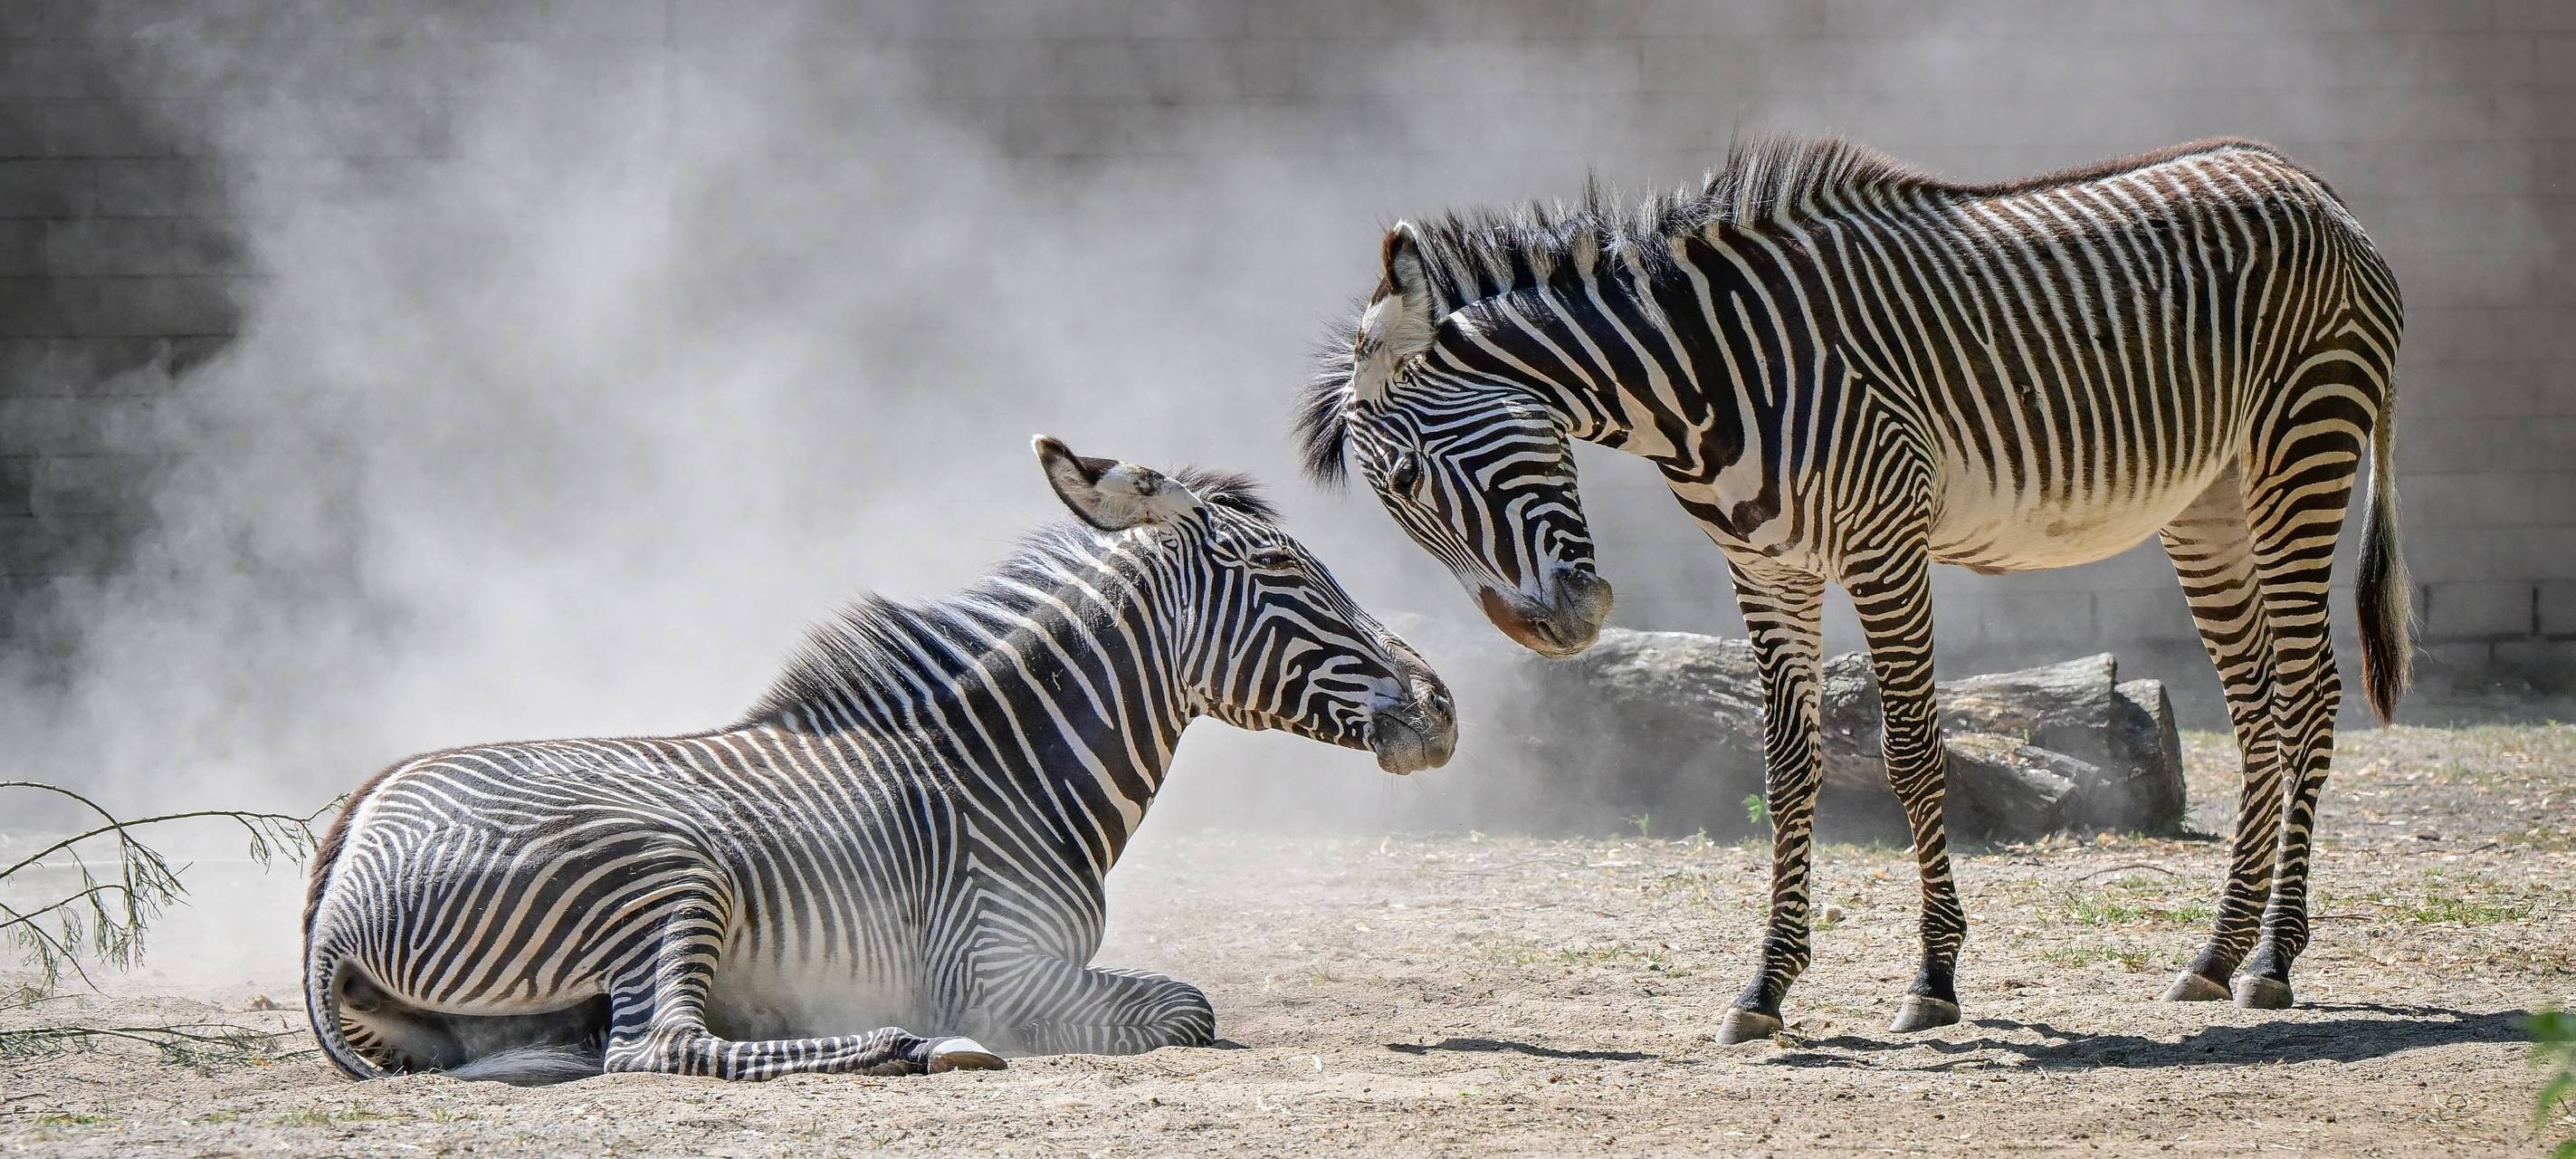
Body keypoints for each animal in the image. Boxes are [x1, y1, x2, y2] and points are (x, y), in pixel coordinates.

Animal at [302, 436, 1456, 1083]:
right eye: (1283, 570)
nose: (1442, 707)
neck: (1008, 768)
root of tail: (349, 843)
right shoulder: (997, 967)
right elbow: (1188, 1006)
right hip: (666, 870)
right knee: (657, 1044)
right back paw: (911, 1045)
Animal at [1297, 136, 2407, 1042]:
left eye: (1407, 481)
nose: (1557, 629)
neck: (1700, 377)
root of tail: (2312, 184)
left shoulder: (1884, 543)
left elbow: (1912, 751)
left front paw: (1933, 976)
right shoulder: (1767, 566)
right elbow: (1788, 766)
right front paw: (1766, 986)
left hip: (2298, 450)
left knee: (2310, 696)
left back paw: (2273, 959)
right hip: (2208, 499)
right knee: (2255, 707)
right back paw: (2216, 954)